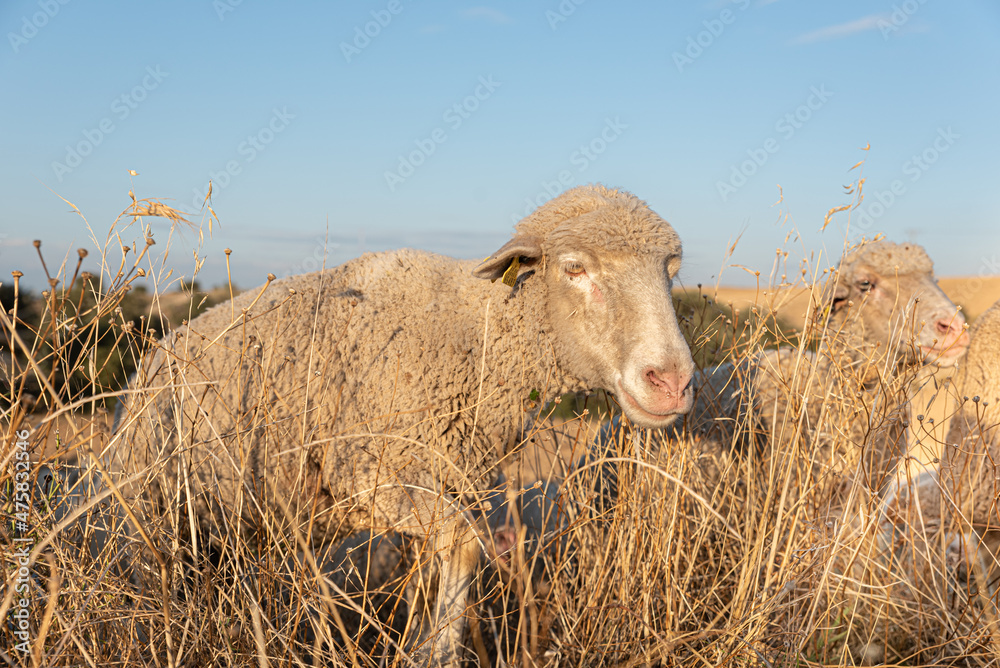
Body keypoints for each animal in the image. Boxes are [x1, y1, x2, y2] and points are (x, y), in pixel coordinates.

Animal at [112, 183, 695, 666]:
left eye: (670, 272)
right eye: (575, 269)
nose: (671, 380)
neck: (477, 333)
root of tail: (154, 355)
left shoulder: (451, 477)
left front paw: (425, 636)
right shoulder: (367, 474)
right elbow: (464, 542)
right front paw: (436, 651)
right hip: (154, 513)